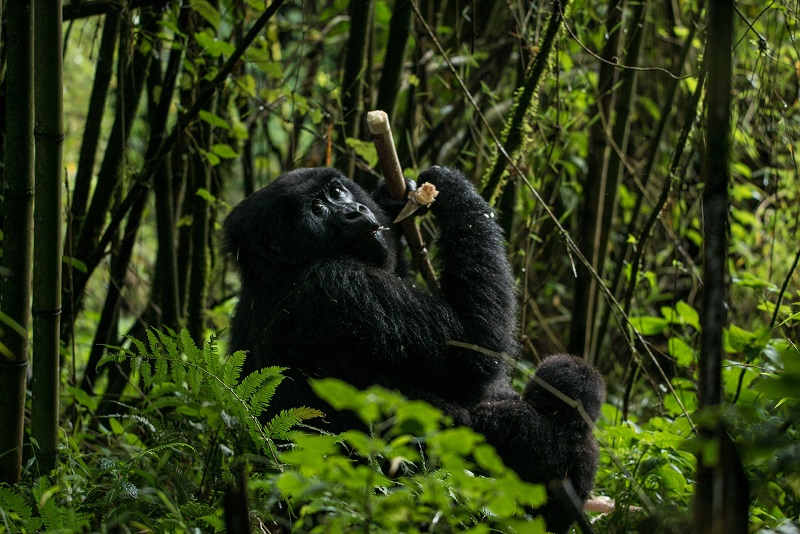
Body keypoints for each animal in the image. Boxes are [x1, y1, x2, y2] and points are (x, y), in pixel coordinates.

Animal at [222, 165, 604, 532]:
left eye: (336, 192)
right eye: (316, 211)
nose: (353, 211)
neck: (276, 269)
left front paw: (394, 200)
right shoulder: (340, 288)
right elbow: (473, 347)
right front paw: (453, 189)